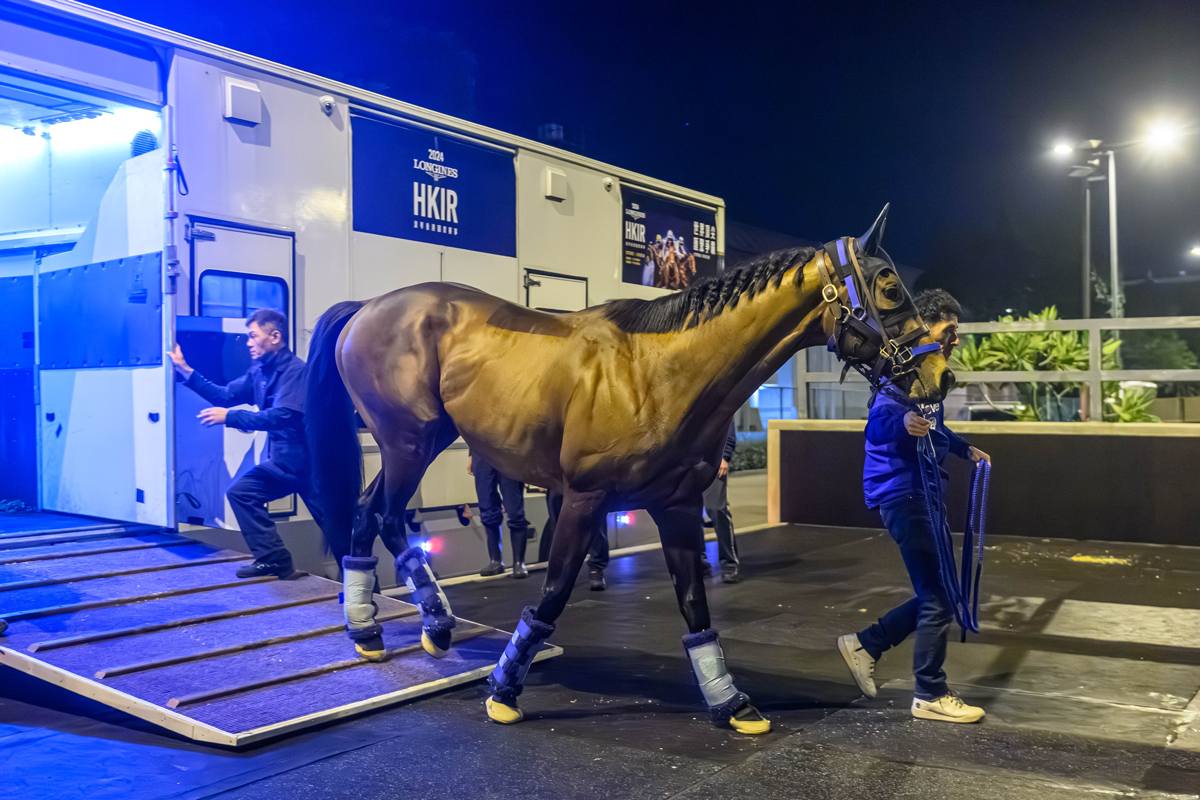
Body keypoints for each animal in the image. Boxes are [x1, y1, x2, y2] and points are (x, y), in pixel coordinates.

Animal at [304, 205, 950, 734]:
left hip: (423, 438)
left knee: (378, 514)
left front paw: (729, 701)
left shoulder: (678, 506)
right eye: (889, 287)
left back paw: (415, 627)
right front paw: (504, 690)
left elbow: (695, 603)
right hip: (407, 441)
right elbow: (554, 592)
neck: (656, 374)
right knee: (378, 512)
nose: (939, 377)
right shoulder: (584, 499)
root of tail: (367, 307)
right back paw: (382, 629)